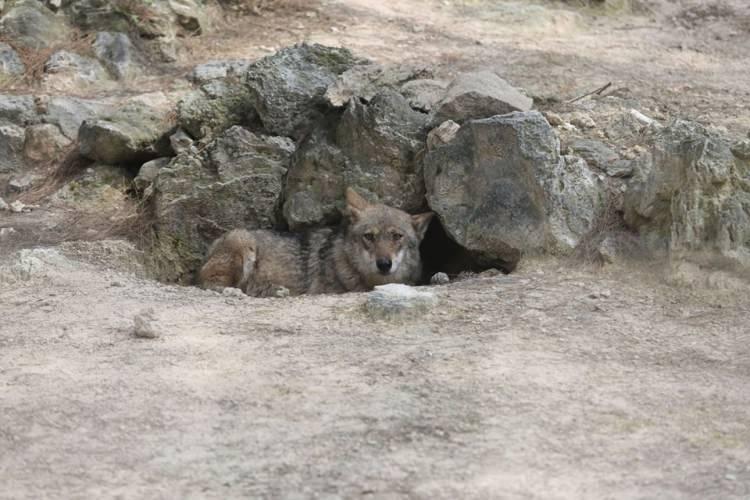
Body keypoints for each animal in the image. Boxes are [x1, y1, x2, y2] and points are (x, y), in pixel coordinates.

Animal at [198, 188, 434, 296]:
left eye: (397, 236)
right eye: (369, 236)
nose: (384, 264)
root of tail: (211, 248)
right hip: (243, 244)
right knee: (212, 285)